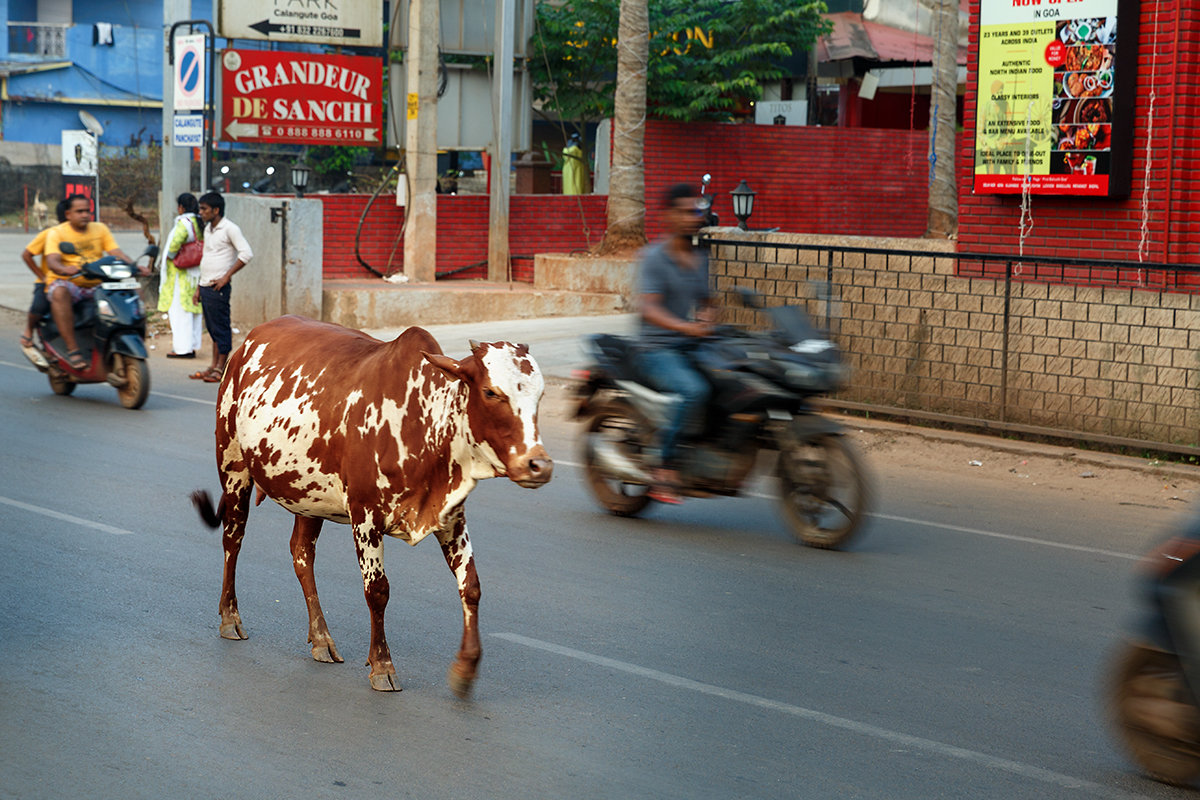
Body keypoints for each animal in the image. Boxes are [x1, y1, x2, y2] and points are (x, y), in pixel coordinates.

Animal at [192, 316, 552, 695]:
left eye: (539, 395)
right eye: (491, 392)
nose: (539, 465)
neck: (420, 420)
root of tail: (249, 341)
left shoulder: (451, 517)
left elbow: (471, 586)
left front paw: (466, 668)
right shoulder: (365, 517)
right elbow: (378, 591)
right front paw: (382, 665)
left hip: (308, 497)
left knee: (302, 554)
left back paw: (322, 639)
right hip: (234, 468)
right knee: (233, 539)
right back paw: (230, 618)